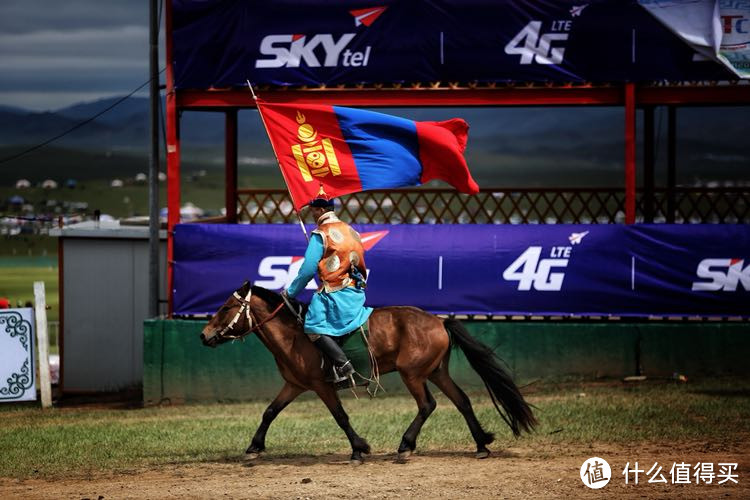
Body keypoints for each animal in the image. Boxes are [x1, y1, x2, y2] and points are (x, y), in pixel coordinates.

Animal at [201, 282, 540, 464]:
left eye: (226, 308)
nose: (204, 336)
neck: (294, 335)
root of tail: (439, 320)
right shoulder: (295, 385)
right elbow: (269, 412)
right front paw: (253, 448)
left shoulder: (320, 386)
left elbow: (340, 417)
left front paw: (358, 448)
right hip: (436, 372)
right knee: (462, 401)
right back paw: (481, 444)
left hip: (412, 374)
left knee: (427, 405)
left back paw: (406, 446)